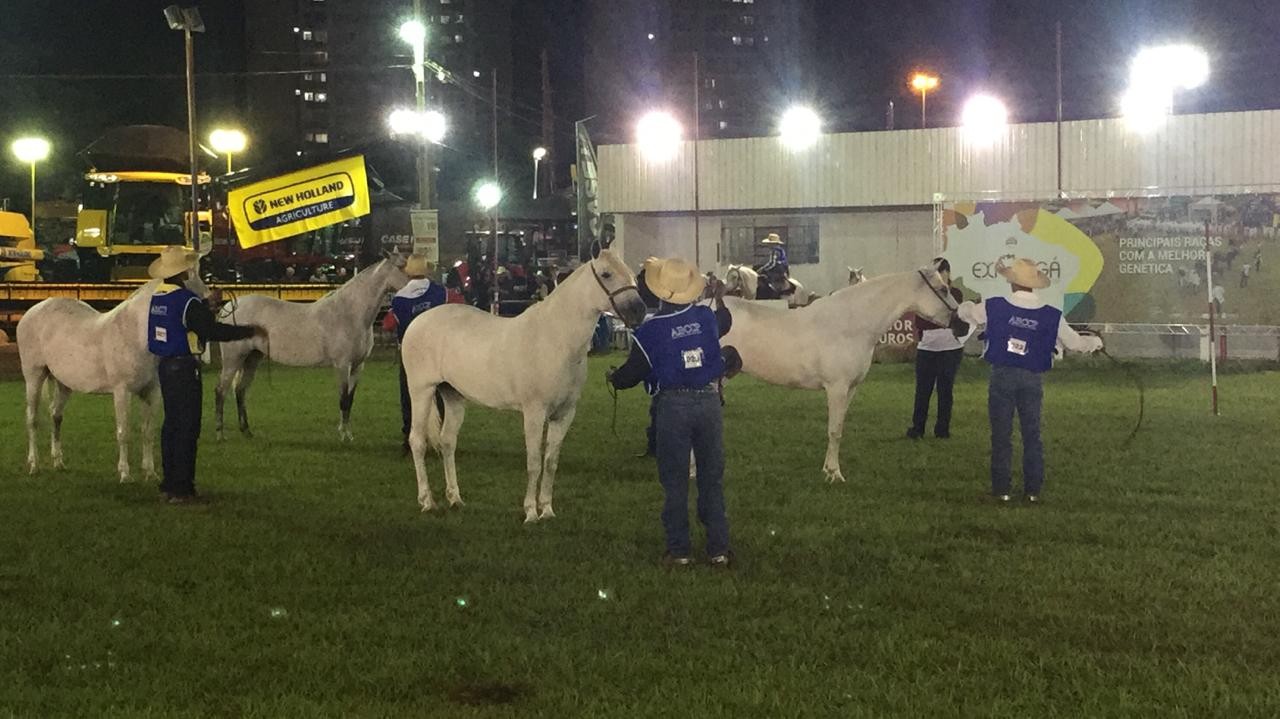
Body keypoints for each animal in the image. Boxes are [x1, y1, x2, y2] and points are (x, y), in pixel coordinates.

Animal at [18, 275, 209, 481]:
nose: (209, 302)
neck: (134, 333)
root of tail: (31, 313)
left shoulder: (151, 392)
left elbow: (148, 431)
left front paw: (150, 473)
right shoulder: (122, 391)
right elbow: (123, 432)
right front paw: (125, 474)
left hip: (63, 384)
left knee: (55, 415)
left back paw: (58, 462)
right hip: (34, 377)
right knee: (32, 420)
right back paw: (34, 465)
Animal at [214, 253, 409, 441]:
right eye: (401, 266)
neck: (349, 313)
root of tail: (228, 307)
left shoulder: (357, 366)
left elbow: (350, 400)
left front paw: (349, 434)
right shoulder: (342, 365)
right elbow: (343, 400)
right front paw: (343, 435)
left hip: (252, 358)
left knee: (240, 391)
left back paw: (246, 431)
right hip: (233, 359)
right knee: (221, 391)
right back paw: (220, 434)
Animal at [402, 248, 647, 522]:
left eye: (630, 271)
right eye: (606, 274)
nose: (639, 311)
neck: (556, 339)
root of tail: (418, 321)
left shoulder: (564, 414)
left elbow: (550, 462)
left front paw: (547, 510)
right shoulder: (534, 412)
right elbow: (534, 462)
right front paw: (530, 512)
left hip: (453, 395)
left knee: (447, 442)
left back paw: (455, 499)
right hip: (421, 391)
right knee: (417, 441)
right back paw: (427, 501)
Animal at [721, 268, 958, 482]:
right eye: (943, 289)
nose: (960, 323)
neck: (850, 324)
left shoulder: (851, 388)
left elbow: (839, 429)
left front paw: (828, 469)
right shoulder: (837, 388)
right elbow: (834, 431)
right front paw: (835, 474)